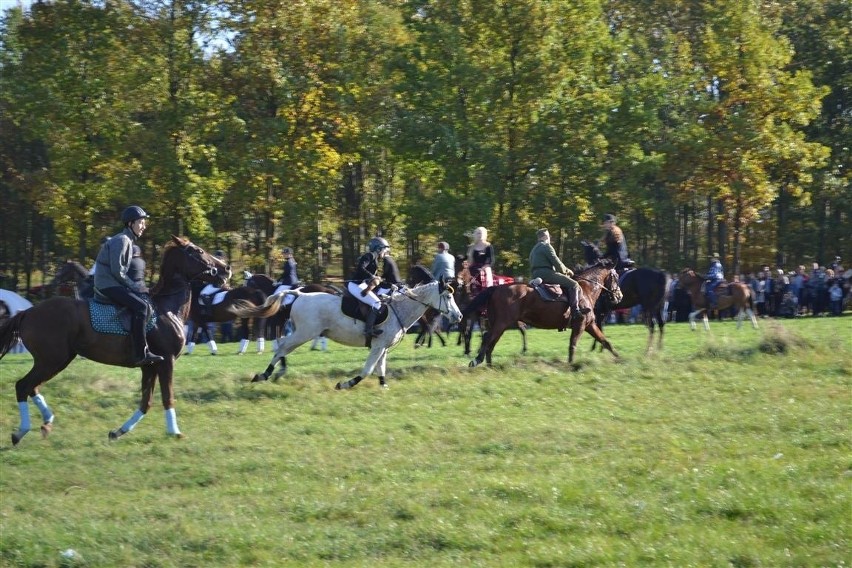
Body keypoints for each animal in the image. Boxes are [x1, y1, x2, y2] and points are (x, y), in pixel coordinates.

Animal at [0, 237, 282, 446]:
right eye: (199, 251)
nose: (226, 269)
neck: (167, 308)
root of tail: (27, 312)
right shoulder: (166, 362)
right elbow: (167, 397)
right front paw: (175, 432)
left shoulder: (150, 365)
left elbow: (145, 402)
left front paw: (119, 431)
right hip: (52, 360)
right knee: (23, 386)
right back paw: (21, 430)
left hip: (53, 360)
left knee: (32, 387)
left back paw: (45, 423)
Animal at [250, 280, 462, 390]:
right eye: (448, 296)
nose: (459, 316)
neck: (399, 310)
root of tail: (301, 294)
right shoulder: (377, 346)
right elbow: (367, 370)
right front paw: (345, 384)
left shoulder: (383, 347)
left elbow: (380, 369)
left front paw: (383, 386)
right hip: (305, 333)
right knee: (283, 346)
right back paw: (264, 374)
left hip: (302, 332)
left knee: (282, 345)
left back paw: (274, 372)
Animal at [462, 260, 624, 366]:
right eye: (616, 276)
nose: (619, 296)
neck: (585, 290)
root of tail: (496, 288)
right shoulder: (580, 324)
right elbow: (573, 344)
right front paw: (570, 364)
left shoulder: (589, 325)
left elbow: (605, 341)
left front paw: (620, 359)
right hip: (502, 323)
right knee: (488, 338)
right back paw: (477, 360)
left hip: (499, 324)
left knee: (491, 341)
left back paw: (490, 365)